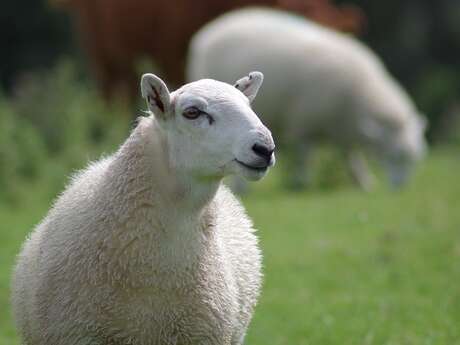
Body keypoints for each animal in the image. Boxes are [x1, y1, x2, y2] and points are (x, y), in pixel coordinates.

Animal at [188, 6, 428, 189]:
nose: (400, 188)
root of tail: (210, 30)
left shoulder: (342, 127)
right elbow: (304, 154)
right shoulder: (304, 120)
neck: (361, 93)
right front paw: (300, 182)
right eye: (394, 156)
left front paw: (363, 181)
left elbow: (350, 155)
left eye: (415, 158)